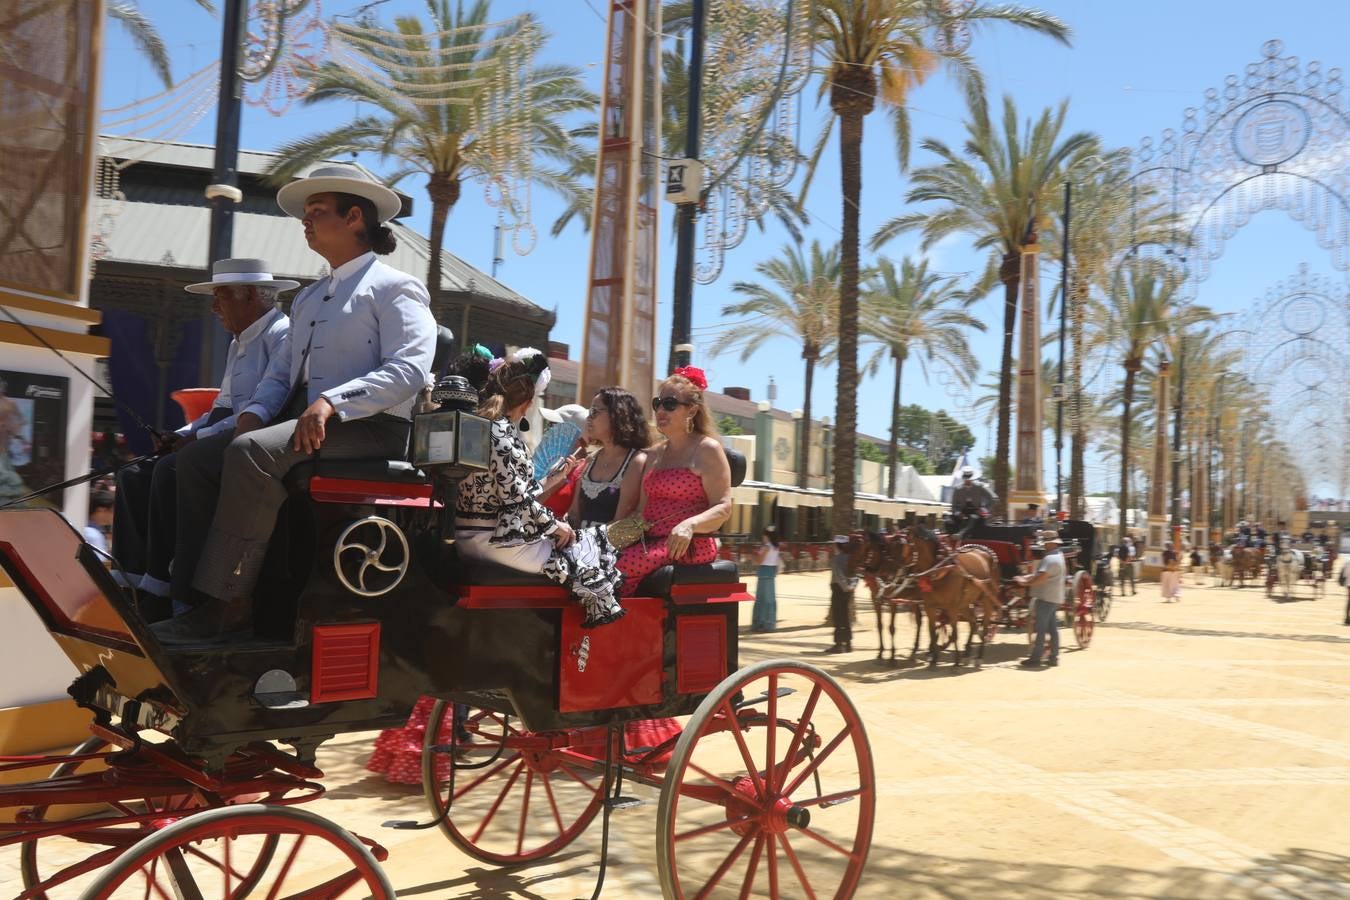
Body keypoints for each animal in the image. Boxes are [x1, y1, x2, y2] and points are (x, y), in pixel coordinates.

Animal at [896, 523, 1004, 666]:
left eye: (904, 546)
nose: (898, 573)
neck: (940, 569)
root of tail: (987, 553)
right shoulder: (930, 606)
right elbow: (932, 631)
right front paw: (933, 660)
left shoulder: (952, 607)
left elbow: (954, 632)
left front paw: (956, 661)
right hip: (965, 603)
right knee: (973, 621)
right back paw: (967, 652)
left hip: (986, 600)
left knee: (985, 625)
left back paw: (979, 656)